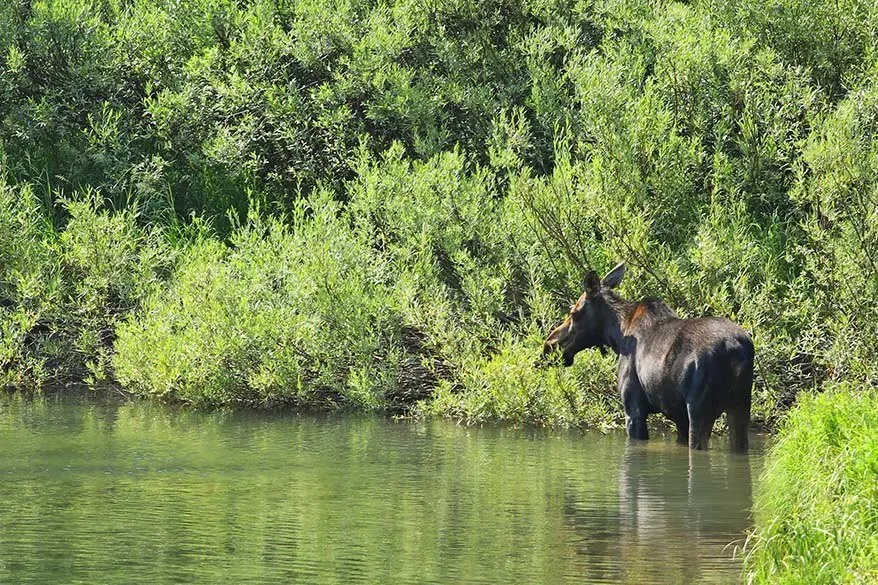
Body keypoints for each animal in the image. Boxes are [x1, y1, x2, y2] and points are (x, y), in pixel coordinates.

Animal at [548, 262, 752, 450]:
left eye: (573, 313)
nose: (549, 345)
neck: (617, 336)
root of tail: (736, 350)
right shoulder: (679, 417)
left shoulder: (633, 410)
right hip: (740, 407)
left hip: (700, 411)